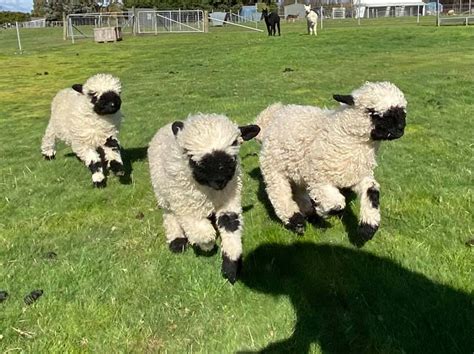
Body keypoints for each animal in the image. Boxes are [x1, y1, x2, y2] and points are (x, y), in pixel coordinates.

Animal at [148, 112, 260, 284]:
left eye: (234, 143)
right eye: (191, 154)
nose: (220, 179)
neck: (210, 191)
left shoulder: (229, 201)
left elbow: (230, 226)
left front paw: (231, 266)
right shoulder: (185, 204)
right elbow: (202, 232)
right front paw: (207, 245)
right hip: (163, 192)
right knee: (169, 215)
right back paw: (177, 241)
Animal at [256, 82, 408, 245]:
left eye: (402, 112)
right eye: (372, 112)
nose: (400, 129)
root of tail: (275, 116)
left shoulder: (357, 176)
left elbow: (371, 191)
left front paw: (367, 229)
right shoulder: (319, 178)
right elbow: (337, 205)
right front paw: (323, 211)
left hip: (297, 171)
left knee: (298, 192)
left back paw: (309, 214)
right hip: (273, 168)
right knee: (279, 193)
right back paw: (297, 222)